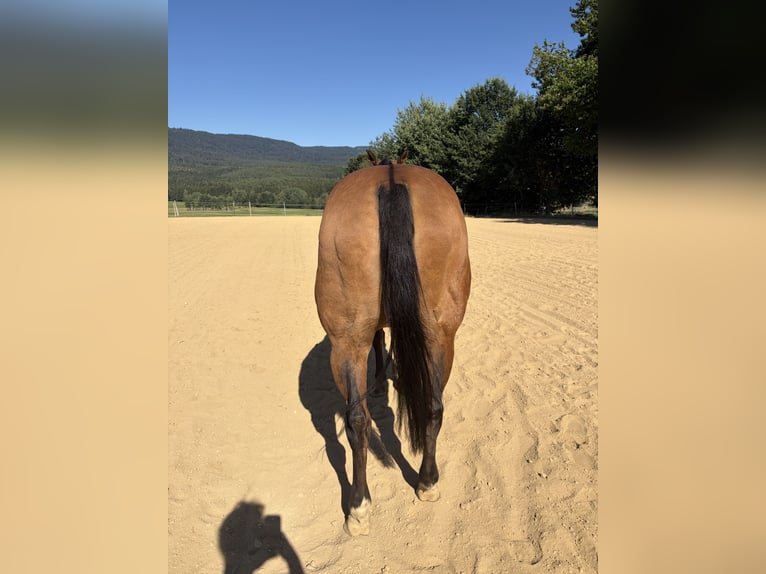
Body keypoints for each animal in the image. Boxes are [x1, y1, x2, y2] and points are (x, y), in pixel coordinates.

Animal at [314, 150, 471, 535]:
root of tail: (391, 179)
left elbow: (379, 340)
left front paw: (381, 383)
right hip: (439, 337)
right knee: (429, 407)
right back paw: (422, 483)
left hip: (348, 342)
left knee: (359, 419)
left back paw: (360, 506)